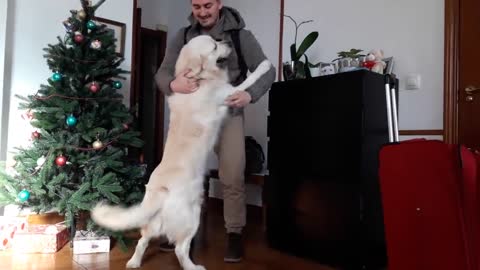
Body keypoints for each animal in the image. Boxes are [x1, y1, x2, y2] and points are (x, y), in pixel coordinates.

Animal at [90, 35, 270, 270]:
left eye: (217, 40)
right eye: (214, 46)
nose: (229, 42)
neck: (198, 77)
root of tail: (161, 191)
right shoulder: (227, 92)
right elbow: (246, 83)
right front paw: (264, 66)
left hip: (153, 224)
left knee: (142, 241)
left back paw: (134, 262)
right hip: (192, 217)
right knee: (180, 249)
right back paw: (194, 267)